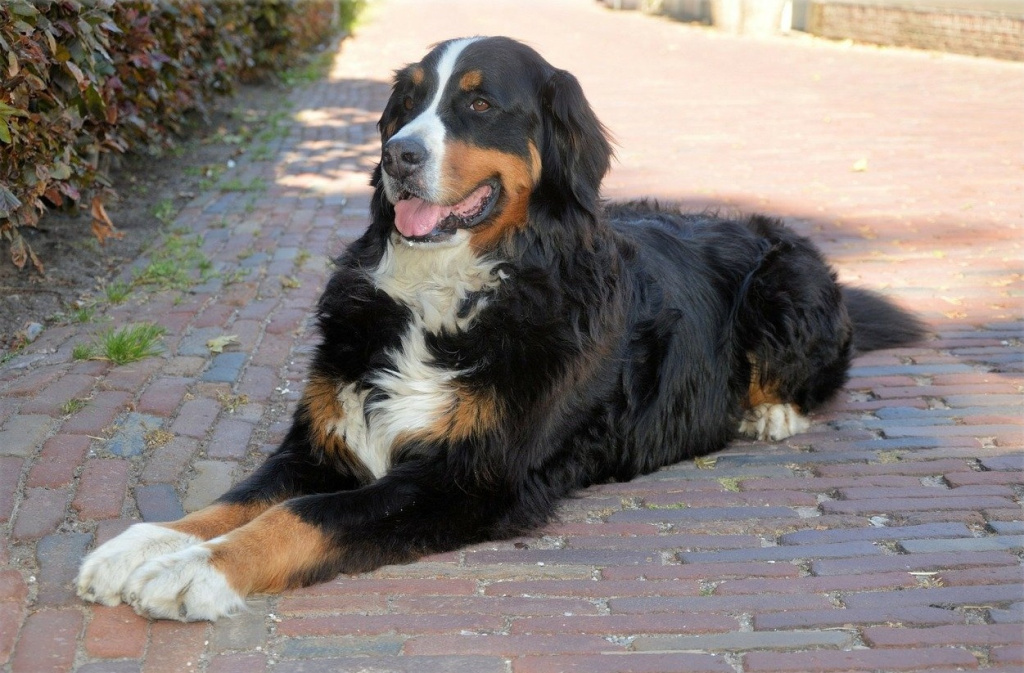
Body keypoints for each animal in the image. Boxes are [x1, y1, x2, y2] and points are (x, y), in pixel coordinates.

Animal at [75, 36, 925, 618]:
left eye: (479, 106)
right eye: (405, 105)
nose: (396, 155)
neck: (442, 293)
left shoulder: (465, 476)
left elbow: (299, 517)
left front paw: (196, 571)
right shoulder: (321, 441)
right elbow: (232, 500)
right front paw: (142, 545)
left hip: (788, 277)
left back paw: (771, 412)